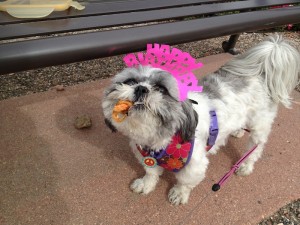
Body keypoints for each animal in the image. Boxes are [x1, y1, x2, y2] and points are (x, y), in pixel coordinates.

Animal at [102, 34, 298, 205]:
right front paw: (146, 184)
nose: (141, 88)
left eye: (161, 89)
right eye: (130, 82)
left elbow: (185, 181)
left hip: (260, 125)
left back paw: (245, 166)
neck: (159, 139)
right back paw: (237, 131)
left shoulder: (194, 164)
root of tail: (260, 72)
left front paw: (179, 194)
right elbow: (151, 172)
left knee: (255, 148)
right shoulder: (146, 156)